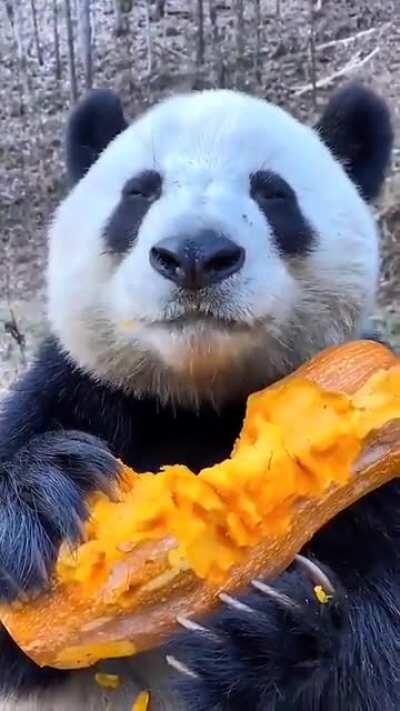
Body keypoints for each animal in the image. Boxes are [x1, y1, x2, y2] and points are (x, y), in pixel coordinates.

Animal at [0, 82, 396, 711]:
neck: (201, 400)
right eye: (139, 192)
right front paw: (43, 496)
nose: (194, 255)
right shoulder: (76, 388)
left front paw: (270, 644)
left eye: (273, 193)